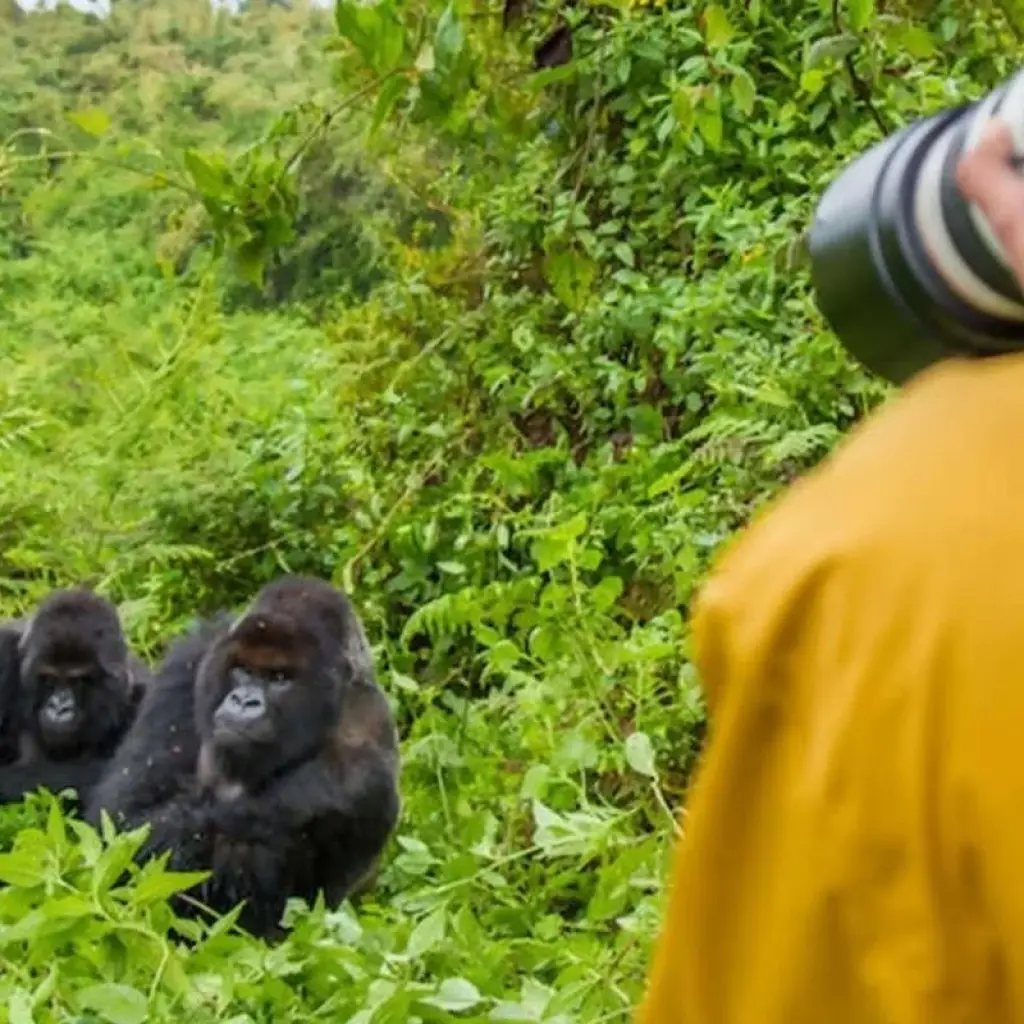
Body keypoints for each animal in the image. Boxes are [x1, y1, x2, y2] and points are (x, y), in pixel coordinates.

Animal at [87, 575, 401, 941]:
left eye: (279, 678)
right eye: (243, 669)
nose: (243, 701)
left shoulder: (368, 749)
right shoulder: (192, 659)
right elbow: (125, 821)